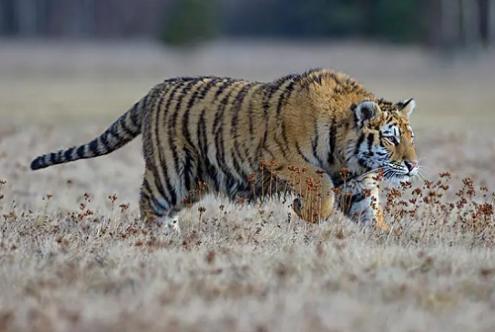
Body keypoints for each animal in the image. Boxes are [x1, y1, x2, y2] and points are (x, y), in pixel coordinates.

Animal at [31, 68, 418, 232]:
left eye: (410, 137)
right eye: (390, 138)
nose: (413, 166)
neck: (345, 151)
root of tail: (154, 91)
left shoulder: (356, 181)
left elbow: (370, 212)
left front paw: (384, 239)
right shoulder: (281, 159)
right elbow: (320, 190)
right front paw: (302, 209)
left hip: (193, 181)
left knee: (166, 208)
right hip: (171, 171)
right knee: (149, 203)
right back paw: (158, 241)